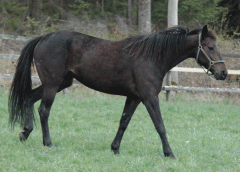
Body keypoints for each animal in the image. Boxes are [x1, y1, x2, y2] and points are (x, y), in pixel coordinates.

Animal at [8, 24, 227, 158]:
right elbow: (160, 126)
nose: (223, 73)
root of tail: (43, 38)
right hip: (53, 85)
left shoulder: (134, 98)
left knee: (28, 99)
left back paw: (25, 133)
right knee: (43, 111)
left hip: (61, 83)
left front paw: (115, 149)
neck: (153, 57)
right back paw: (47, 143)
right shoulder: (149, 98)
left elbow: (123, 123)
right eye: (210, 47)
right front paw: (169, 153)